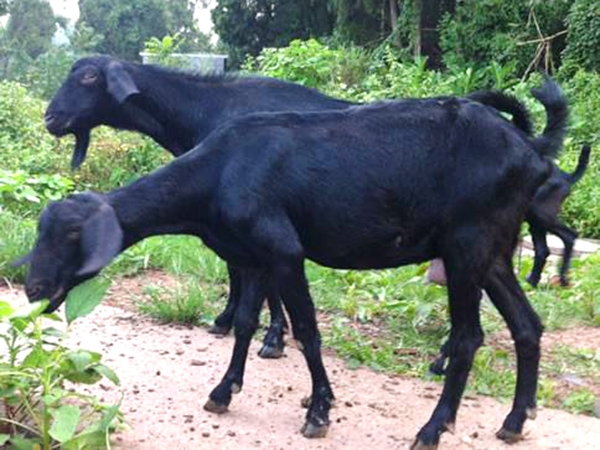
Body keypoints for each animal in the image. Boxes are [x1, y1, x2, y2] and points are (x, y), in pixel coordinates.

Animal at [47, 55, 354, 358]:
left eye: (89, 76)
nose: (50, 118)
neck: (206, 110)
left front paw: (273, 337)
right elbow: (236, 267)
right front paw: (227, 320)